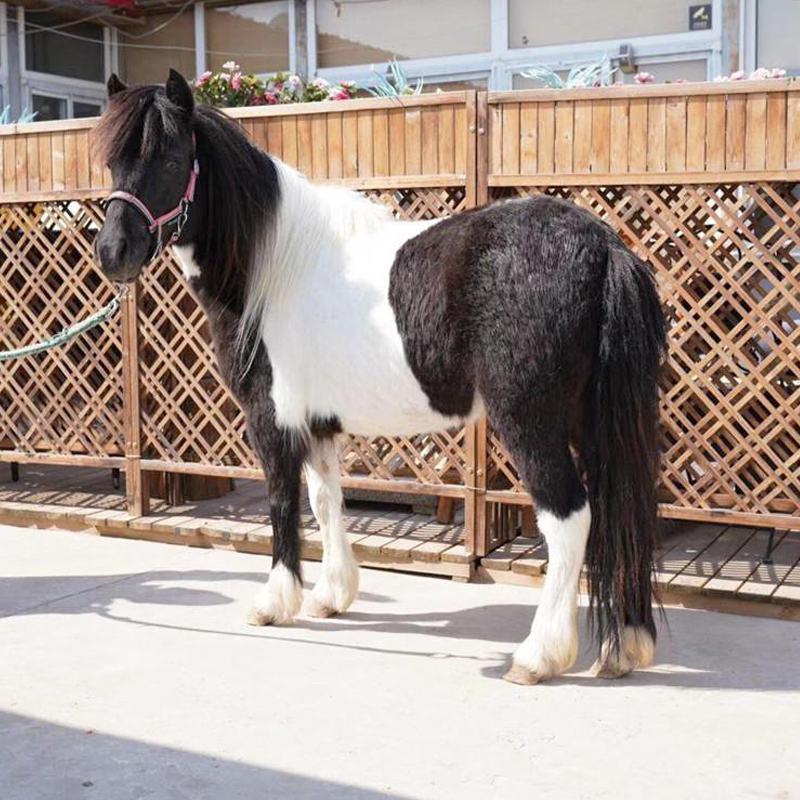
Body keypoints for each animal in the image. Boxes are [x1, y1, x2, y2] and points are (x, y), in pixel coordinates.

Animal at [94, 69, 666, 685]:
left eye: (173, 158)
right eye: (113, 162)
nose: (113, 253)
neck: (277, 268)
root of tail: (604, 247)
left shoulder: (272, 419)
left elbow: (281, 502)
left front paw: (275, 603)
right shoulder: (318, 424)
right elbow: (326, 501)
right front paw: (331, 595)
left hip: (531, 421)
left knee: (569, 519)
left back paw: (538, 655)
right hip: (593, 421)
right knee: (622, 508)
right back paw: (624, 647)